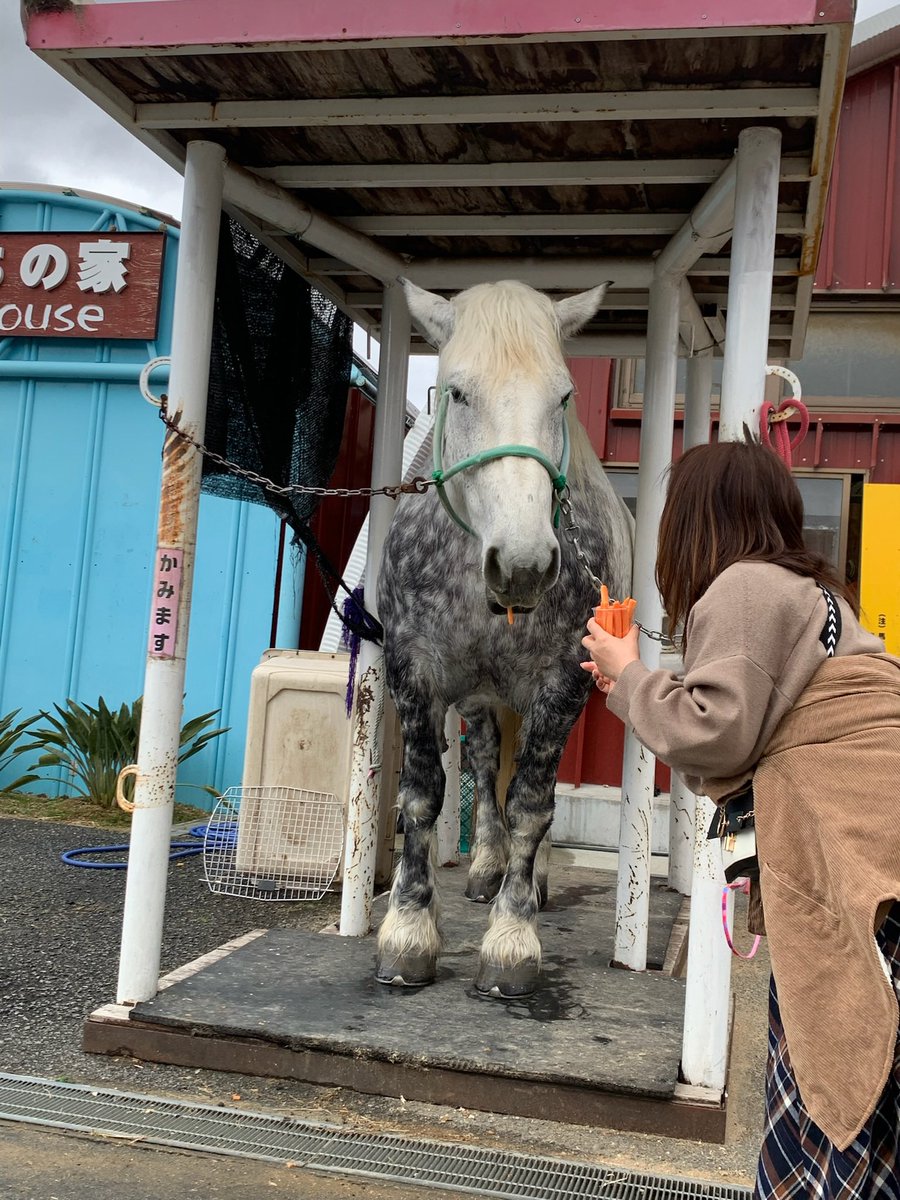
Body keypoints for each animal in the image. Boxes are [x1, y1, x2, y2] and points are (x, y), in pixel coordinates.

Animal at [375, 278, 634, 998]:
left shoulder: (563, 681)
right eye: (458, 392)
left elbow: (533, 806)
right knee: (489, 760)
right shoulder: (415, 671)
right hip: (478, 697)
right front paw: (409, 929)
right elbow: (422, 794)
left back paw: (529, 879)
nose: (522, 565)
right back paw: (488, 866)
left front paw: (513, 937)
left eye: (564, 397)